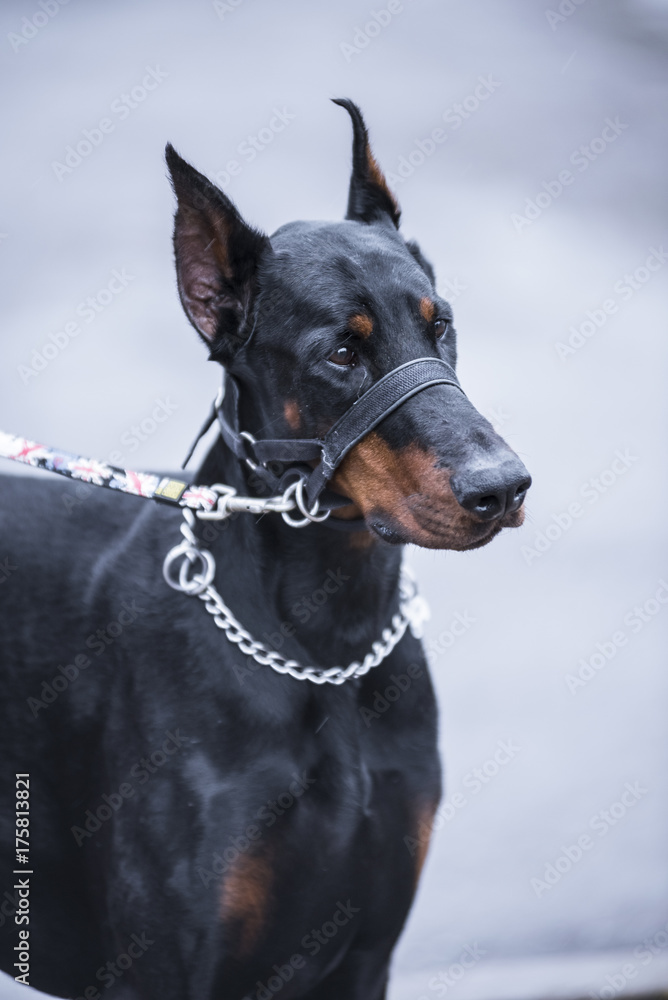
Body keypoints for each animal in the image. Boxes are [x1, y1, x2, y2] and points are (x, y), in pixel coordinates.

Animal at [1, 101, 532, 1000]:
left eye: (443, 324)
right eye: (342, 351)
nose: (504, 486)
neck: (330, 641)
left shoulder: (366, 957)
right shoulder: (169, 969)